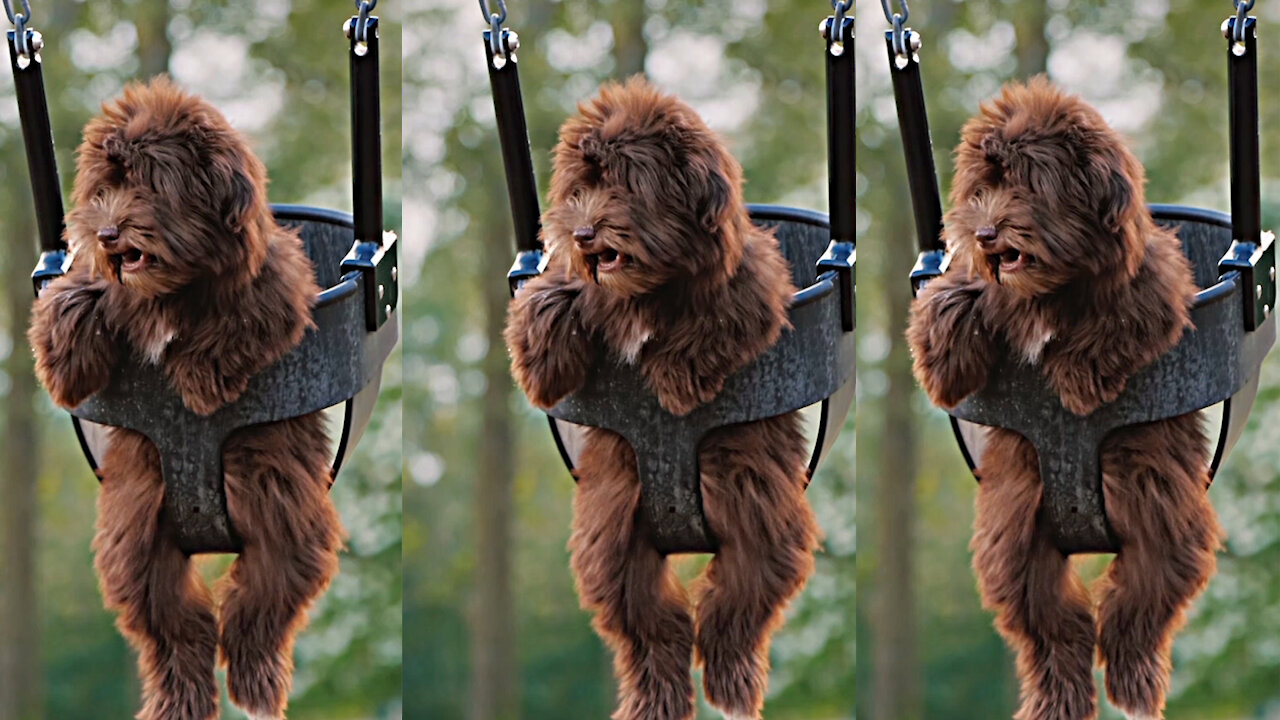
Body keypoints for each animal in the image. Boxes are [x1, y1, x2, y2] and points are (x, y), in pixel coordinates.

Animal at [26, 75, 345, 712]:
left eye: (149, 183)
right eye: (106, 187)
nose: (107, 232)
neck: (169, 290)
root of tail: (209, 534)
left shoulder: (276, 287)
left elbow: (239, 320)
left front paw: (197, 378)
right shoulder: (102, 285)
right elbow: (74, 295)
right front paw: (66, 357)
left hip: (284, 512)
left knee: (262, 601)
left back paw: (253, 681)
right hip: (134, 533)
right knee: (170, 620)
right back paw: (182, 699)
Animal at [501, 75, 819, 712]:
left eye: (625, 183)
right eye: (582, 187)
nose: (583, 232)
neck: (645, 290)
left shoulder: (751, 286)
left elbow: (716, 319)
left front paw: (673, 377)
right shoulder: (578, 285)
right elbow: (550, 295)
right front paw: (543, 358)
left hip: (760, 511)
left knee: (738, 600)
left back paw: (729, 681)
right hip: (610, 533)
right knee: (647, 620)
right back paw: (659, 698)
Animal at [906, 74, 1223, 717]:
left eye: (1027, 183)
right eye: (984, 187)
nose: (985, 232)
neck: (1047, 290)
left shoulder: (1152, 286)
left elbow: (1118, 319)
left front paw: (1076, 379)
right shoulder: (978, 285)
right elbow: (950, 296)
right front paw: (945, 357)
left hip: (1162, 512)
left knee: (1141, 601)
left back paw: (1132, 681)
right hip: (1012, 532)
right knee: (1048, 619)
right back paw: (1060, 698)